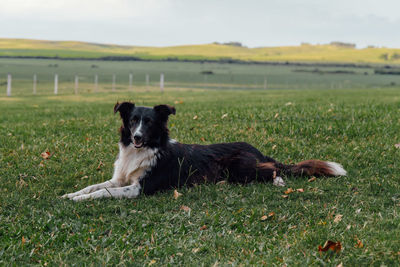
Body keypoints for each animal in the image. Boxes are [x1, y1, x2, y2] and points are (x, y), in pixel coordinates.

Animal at [62, 101, 346, 202]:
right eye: (132, 120)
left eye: (150, 123)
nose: (137, 137)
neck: (144, 150)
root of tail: (257, 150)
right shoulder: (120, 178)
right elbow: (95, 186)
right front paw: (71, 194)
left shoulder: (139, 188)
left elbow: (105, 192)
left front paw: (79, 200)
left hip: (239, 167)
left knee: (272, 169)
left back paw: (278, 180)